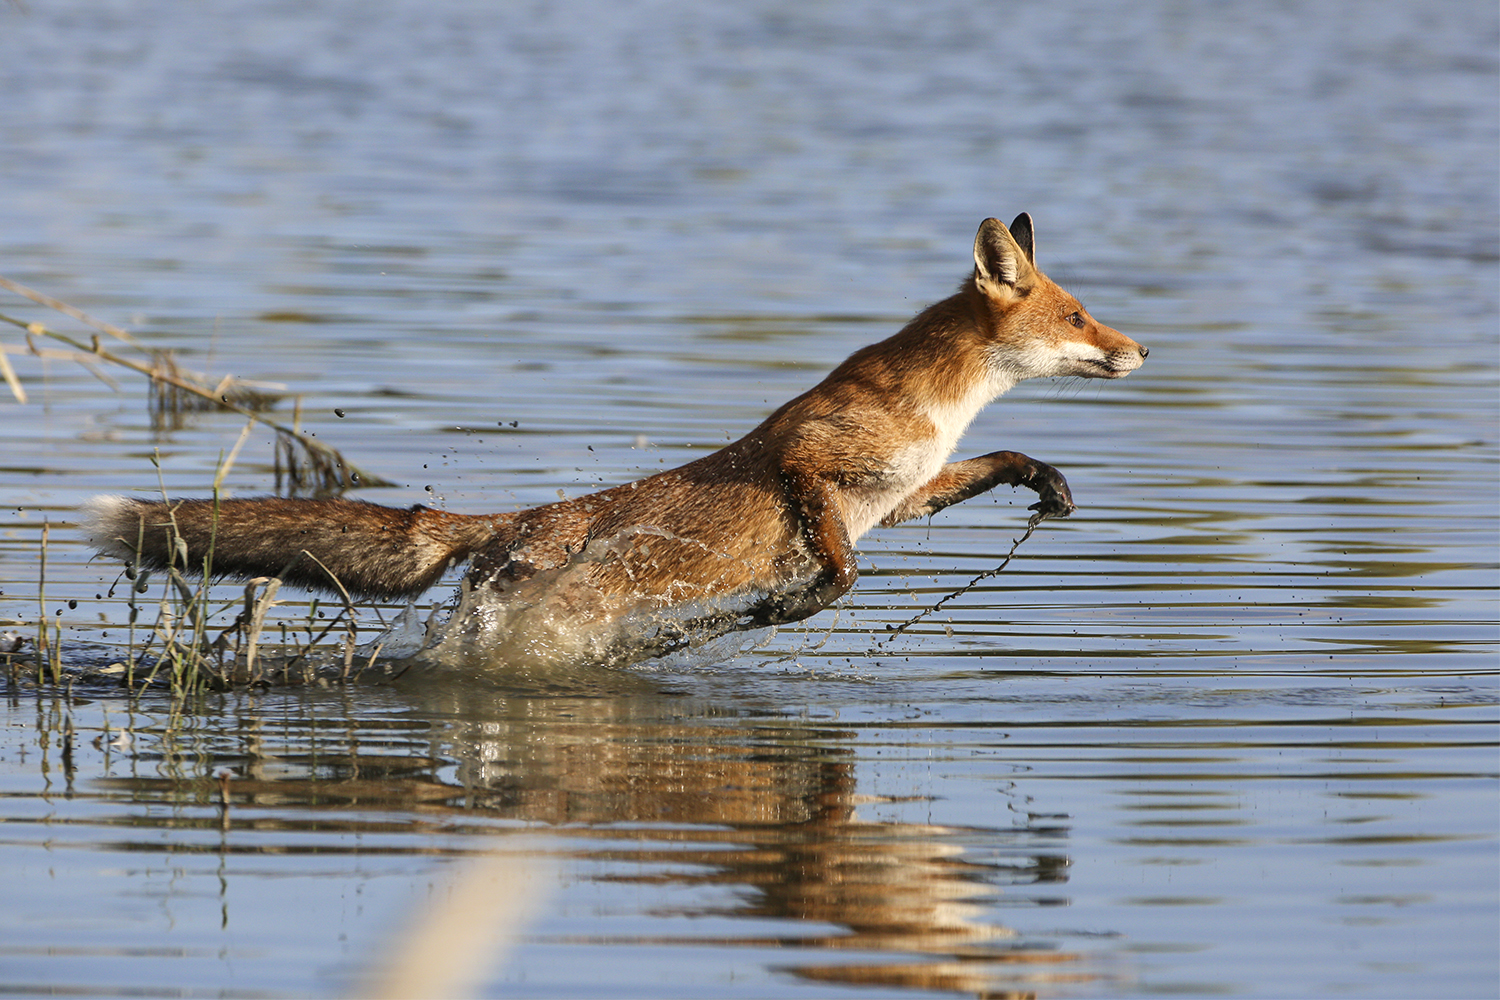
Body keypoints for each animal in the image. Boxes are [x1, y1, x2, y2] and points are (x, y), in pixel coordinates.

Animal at [85, 214, 1147, 667]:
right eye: (1079, 316)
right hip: (536, 611)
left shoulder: (905, 488)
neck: (935, 408)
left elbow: (990, 467)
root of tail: (503, 521)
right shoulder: (809, 465)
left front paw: (1045, 479)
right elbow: (840, 574)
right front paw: (781, 608)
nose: (1141, 348)